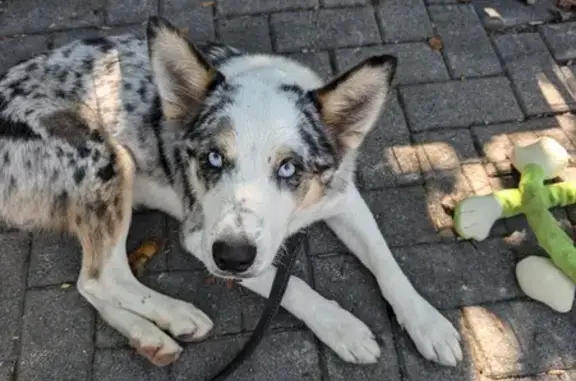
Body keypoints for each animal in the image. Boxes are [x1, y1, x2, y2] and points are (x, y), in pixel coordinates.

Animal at [0, 17, 462, 366]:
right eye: (213, 158)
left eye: (290, 167)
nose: (232, 257)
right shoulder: (200, 237)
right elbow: (289, 285)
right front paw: (342, 327)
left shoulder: (343, 196)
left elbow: (386, 263)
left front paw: (428, 323)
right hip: (108, 160)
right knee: (102, 277)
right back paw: (176, 314)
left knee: (88, 283)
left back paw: (152, 337)